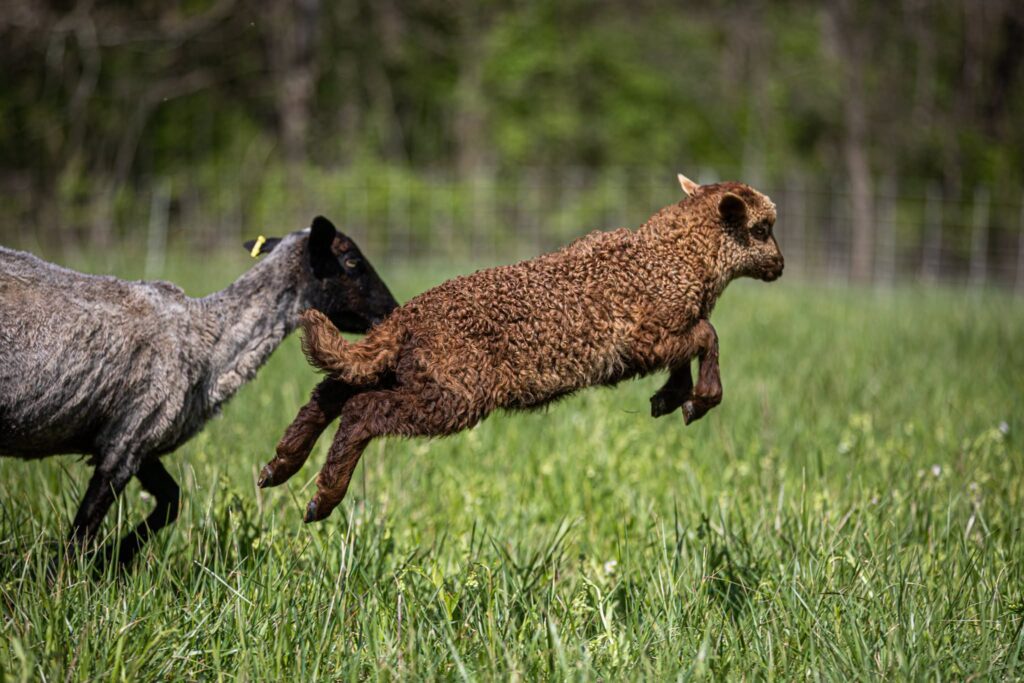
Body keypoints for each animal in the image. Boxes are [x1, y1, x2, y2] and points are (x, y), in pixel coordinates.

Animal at [0, 216, 397, 564]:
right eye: (351, 261)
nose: (393, 311)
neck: (210, 338)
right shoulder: (128, 434)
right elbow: (81, 534)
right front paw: (65, 581)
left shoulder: (142, 437)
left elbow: (171, 500)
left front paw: (116, 557)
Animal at [258, 176, 783, 524]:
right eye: (761, 229)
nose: (780, 265)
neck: (674, 258)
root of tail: (406, 320)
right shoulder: (649, 335)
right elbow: (708, 335)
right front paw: (697, 400)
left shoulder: (658, 340)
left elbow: (694, 345)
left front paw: (669, 399)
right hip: (454, 391)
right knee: (362, 410)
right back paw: (321, 499)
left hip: (409, 370)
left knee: (332, 391)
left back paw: (279, 467)